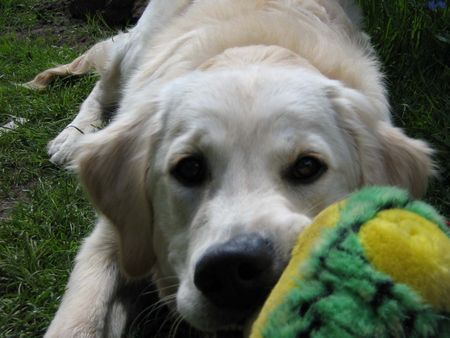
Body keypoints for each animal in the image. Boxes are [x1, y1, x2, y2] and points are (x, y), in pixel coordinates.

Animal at [27, 0, 432, 336]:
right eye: (189, 168)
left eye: (307, 166)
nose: (234, 270)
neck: (253, 53)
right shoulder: (113, 239)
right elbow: (78, 321)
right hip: (132, 52)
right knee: (101, 86)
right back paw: (74, 136)